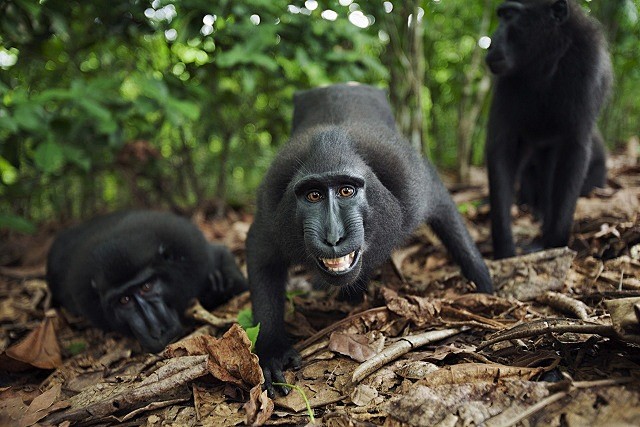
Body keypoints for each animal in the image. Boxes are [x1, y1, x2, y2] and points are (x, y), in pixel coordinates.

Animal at [246, 83, 496, 398]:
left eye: (346, 190)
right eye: (313, 195)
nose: (333, 237)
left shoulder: (412, 184)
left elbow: (443, 206)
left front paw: (486, 289)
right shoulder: (272, 211)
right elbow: (261, 253)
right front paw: (272, 351)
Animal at [484, 0, 616, 260]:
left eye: (510, 15)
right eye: (501, 16)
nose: (491, 42)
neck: (546, 61)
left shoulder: (587, 68)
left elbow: (575, 149)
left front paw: (555, 242)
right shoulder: (508, 84)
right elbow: (502, 151)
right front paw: (505, 248)